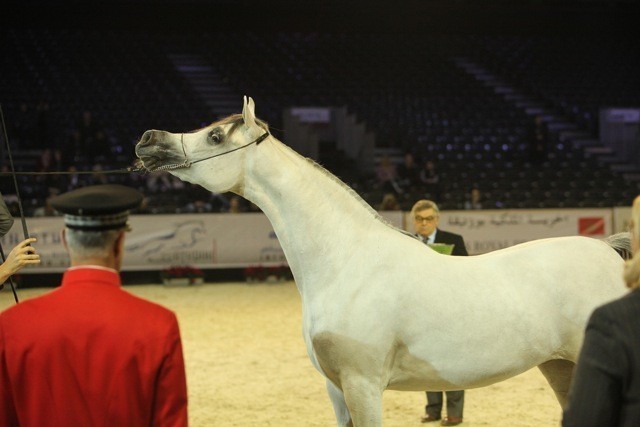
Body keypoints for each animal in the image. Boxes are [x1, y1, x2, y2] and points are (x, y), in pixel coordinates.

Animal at [135, 96, 629, 426]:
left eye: (216, 135)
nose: (147, 140)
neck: (346, 261)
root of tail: (611, 253)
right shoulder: (337, 389)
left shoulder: (363, 385)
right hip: (562, 368)